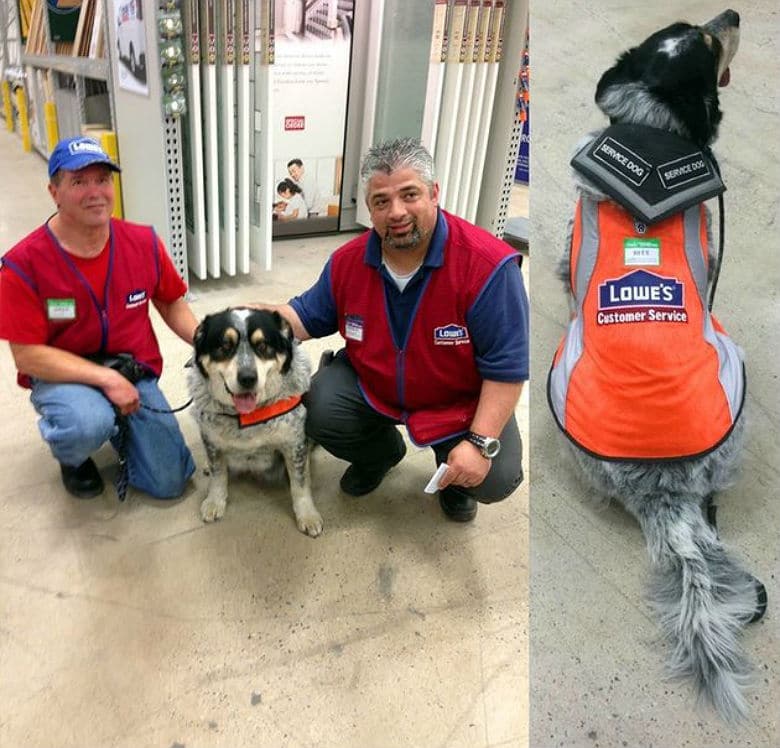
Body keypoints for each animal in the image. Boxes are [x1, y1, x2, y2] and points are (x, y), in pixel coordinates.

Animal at [189, 308, 322, 536]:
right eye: (224, 346)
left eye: (263, 345)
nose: (248, 378)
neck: (247, 416)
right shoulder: (212, 441)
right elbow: (218, 474)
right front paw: (215, 502)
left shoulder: (294, 444)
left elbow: (300, 484)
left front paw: (307, 515)